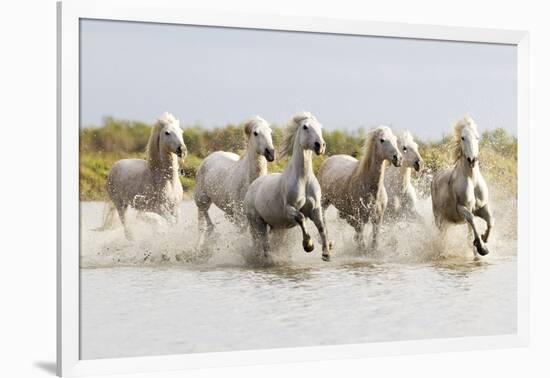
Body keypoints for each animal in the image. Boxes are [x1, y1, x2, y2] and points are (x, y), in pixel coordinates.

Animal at [432, 117, 496, 260]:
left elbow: (490, 221)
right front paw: (482, 247)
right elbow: (472, 219)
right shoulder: (462, 208)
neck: (471, 179)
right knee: (442, 237)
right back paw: (442, 254)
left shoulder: (482, 207)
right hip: (439, 218)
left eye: (477, 137)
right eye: (462, 138)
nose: (472, 160)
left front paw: (483, 240)